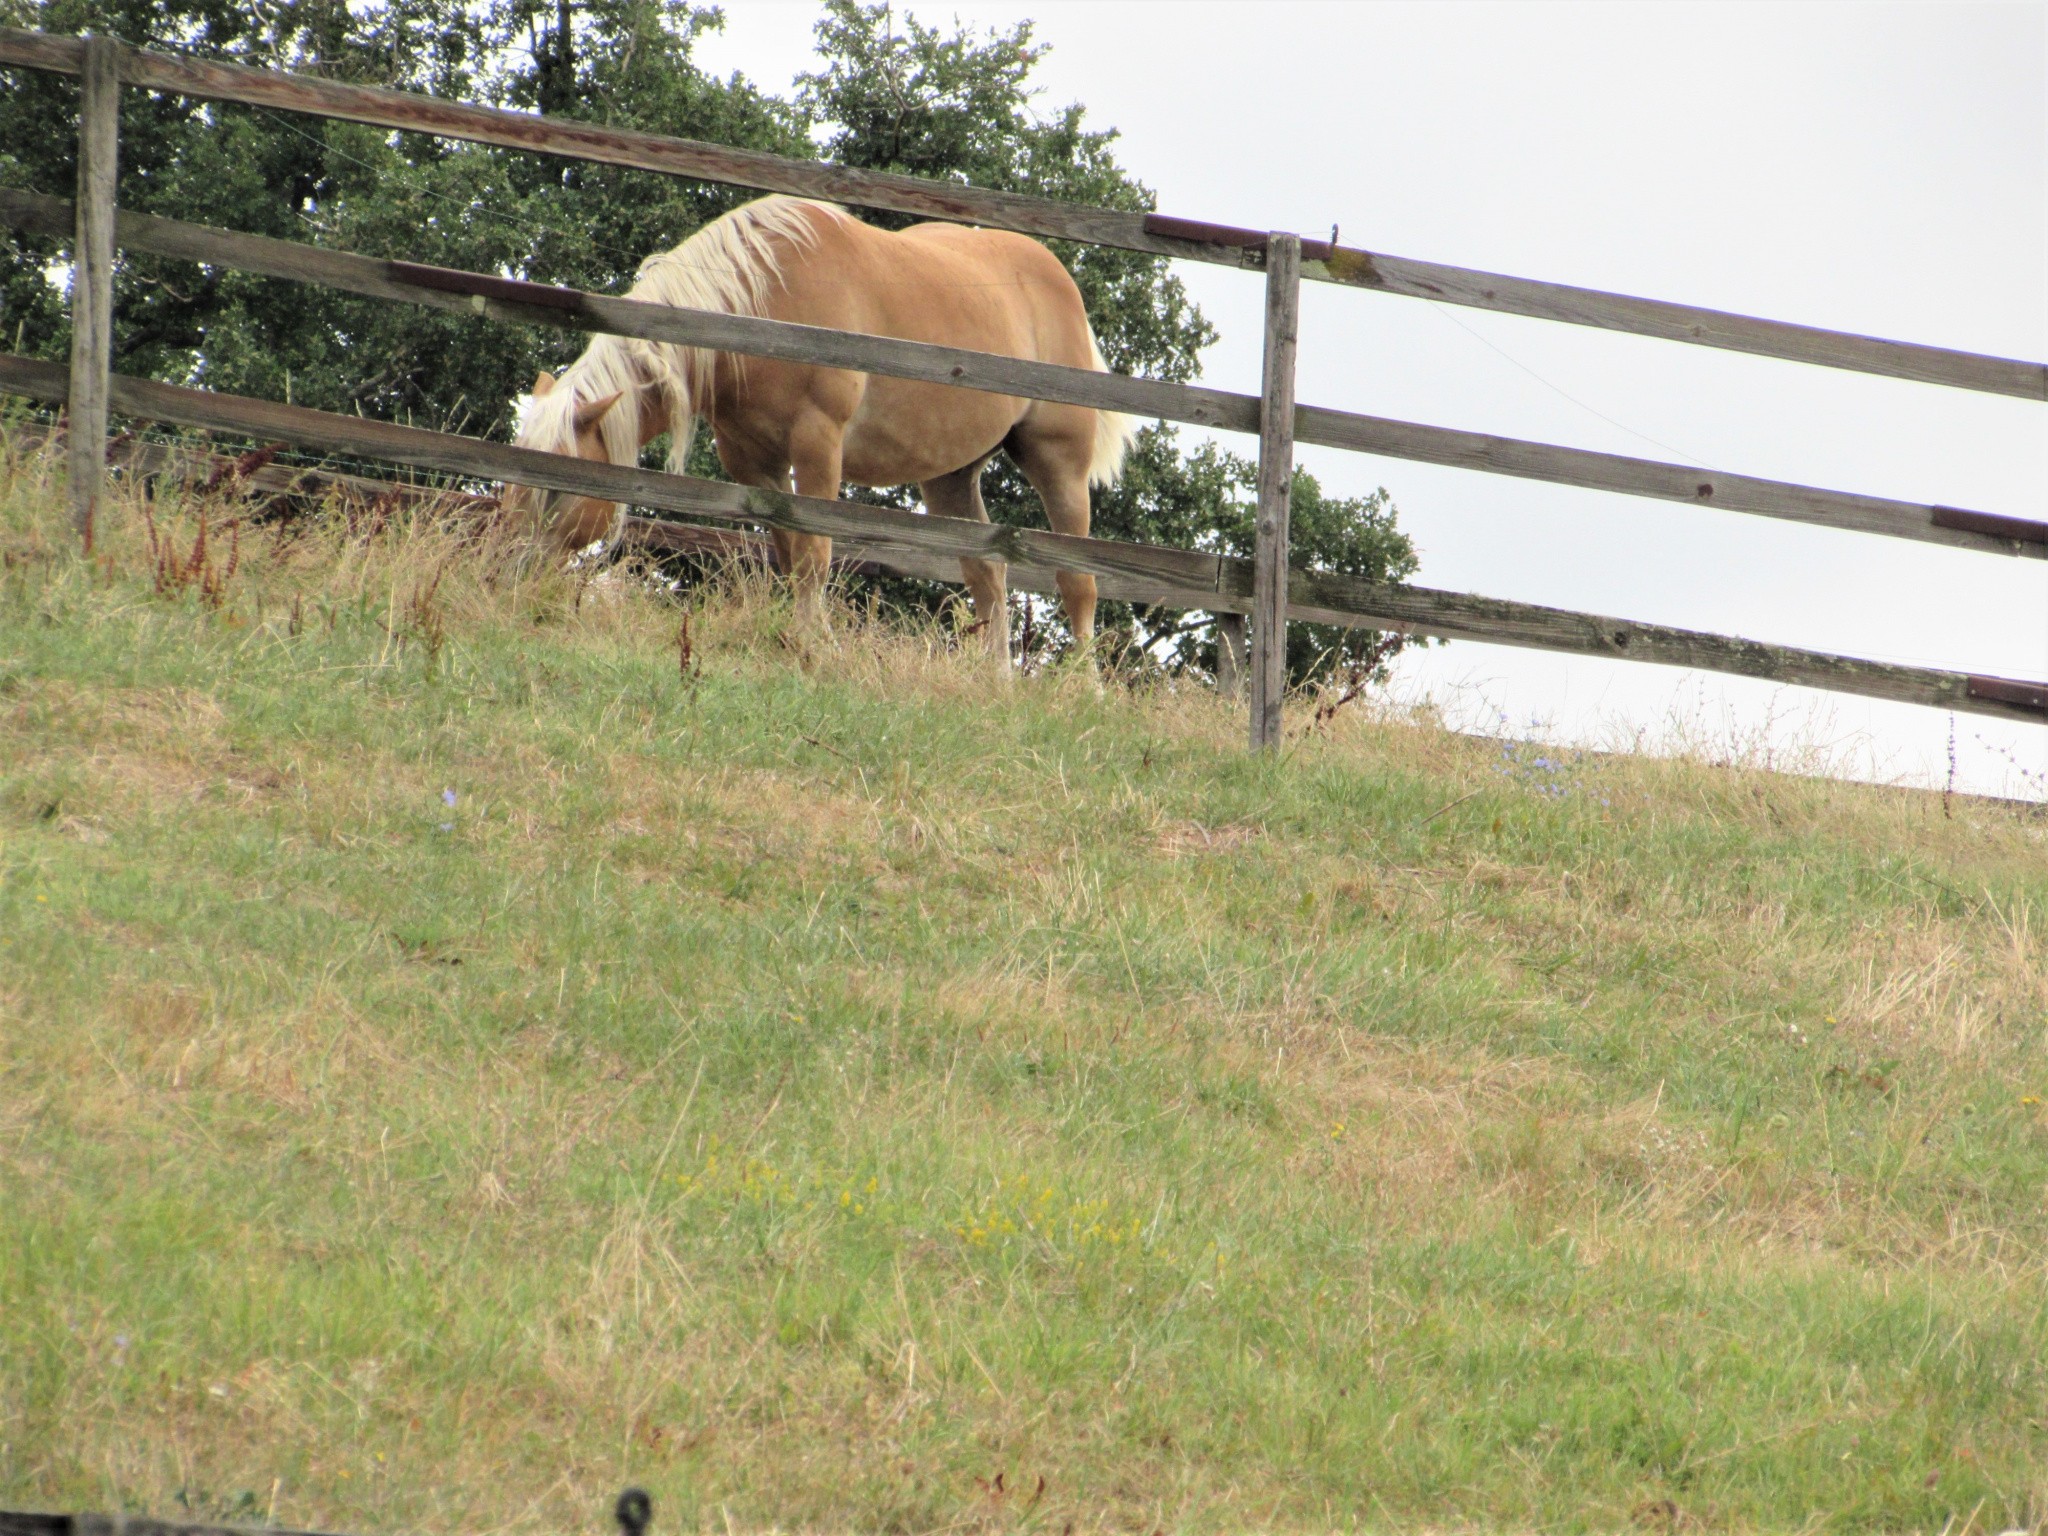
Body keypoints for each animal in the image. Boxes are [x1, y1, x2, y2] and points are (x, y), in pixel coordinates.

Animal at [499, 195, 1138, 659]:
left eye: (555, 491)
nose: (505, 576)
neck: (763, 305)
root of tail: (1056, 276)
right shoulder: (753, 463)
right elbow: (789, 549)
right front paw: (795, 636)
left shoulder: (818, 445)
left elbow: (815, 553)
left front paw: (815, 646)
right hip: (951, 474)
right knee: (988, 573)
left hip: (1058, 460)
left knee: (1078, 582)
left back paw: (1083, 691)